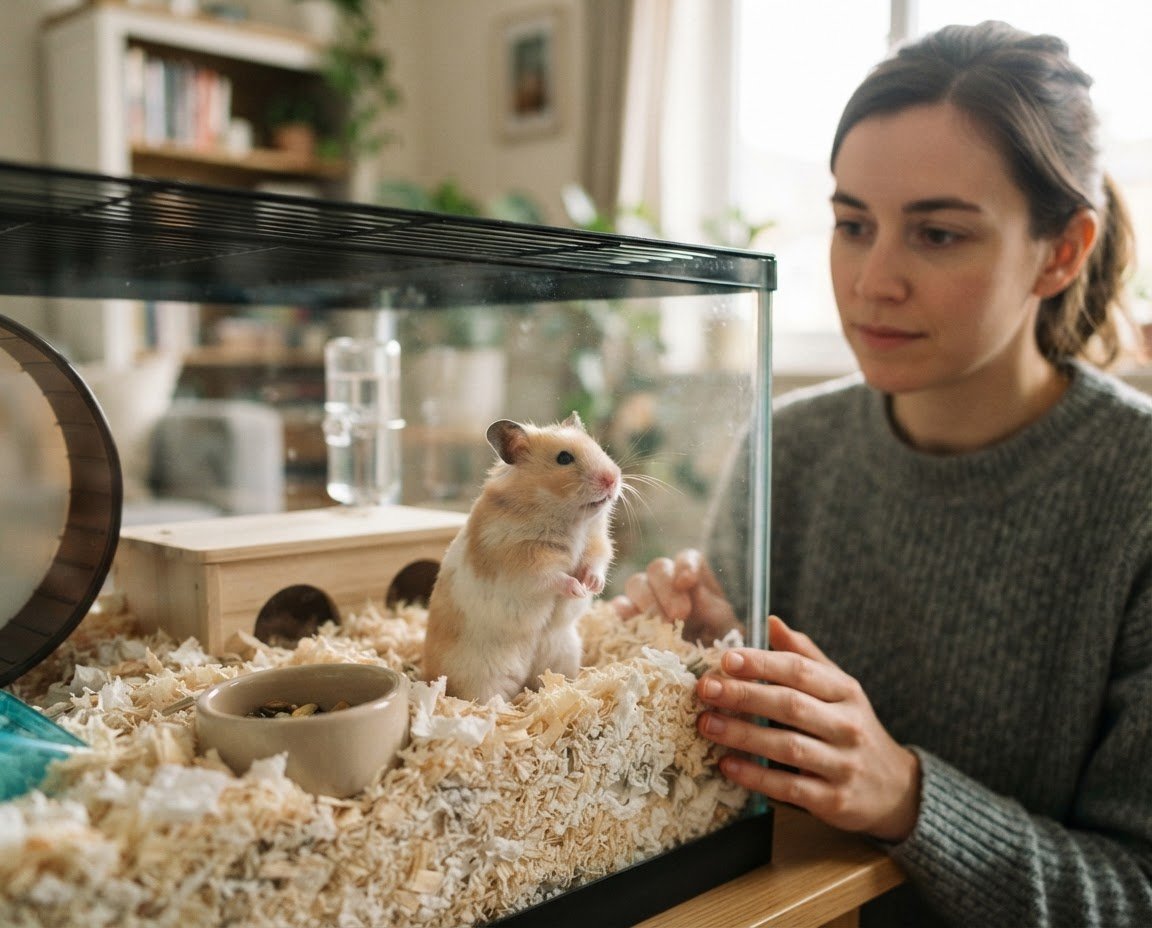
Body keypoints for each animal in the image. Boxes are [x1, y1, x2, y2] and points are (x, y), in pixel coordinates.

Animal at [423, 412, 622, 702]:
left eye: (599, 447)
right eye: (564, 458)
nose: (613, 479)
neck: (571, 520)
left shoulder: (597, 542)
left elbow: (596, 563)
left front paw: (592, 586)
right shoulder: (524, 562)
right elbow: (553, 577)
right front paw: (577, 589)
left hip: (564, 653)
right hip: (482, 676)